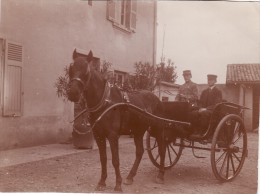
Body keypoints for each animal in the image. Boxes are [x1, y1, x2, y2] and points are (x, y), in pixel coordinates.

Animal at [67, 49, 169, 191]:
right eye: (71, 69)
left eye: (86, 71)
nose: (72, 93)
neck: (105, 102)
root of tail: (157, 99)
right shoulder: (98, 136)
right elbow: (103, 158)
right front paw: (102, 182)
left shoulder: (113, 135)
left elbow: (115, 160)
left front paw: (118, 184)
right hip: (138, 132)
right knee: (140, 152)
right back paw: (130, 177)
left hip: (157, 129)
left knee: (162, 149)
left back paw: (160, 175)